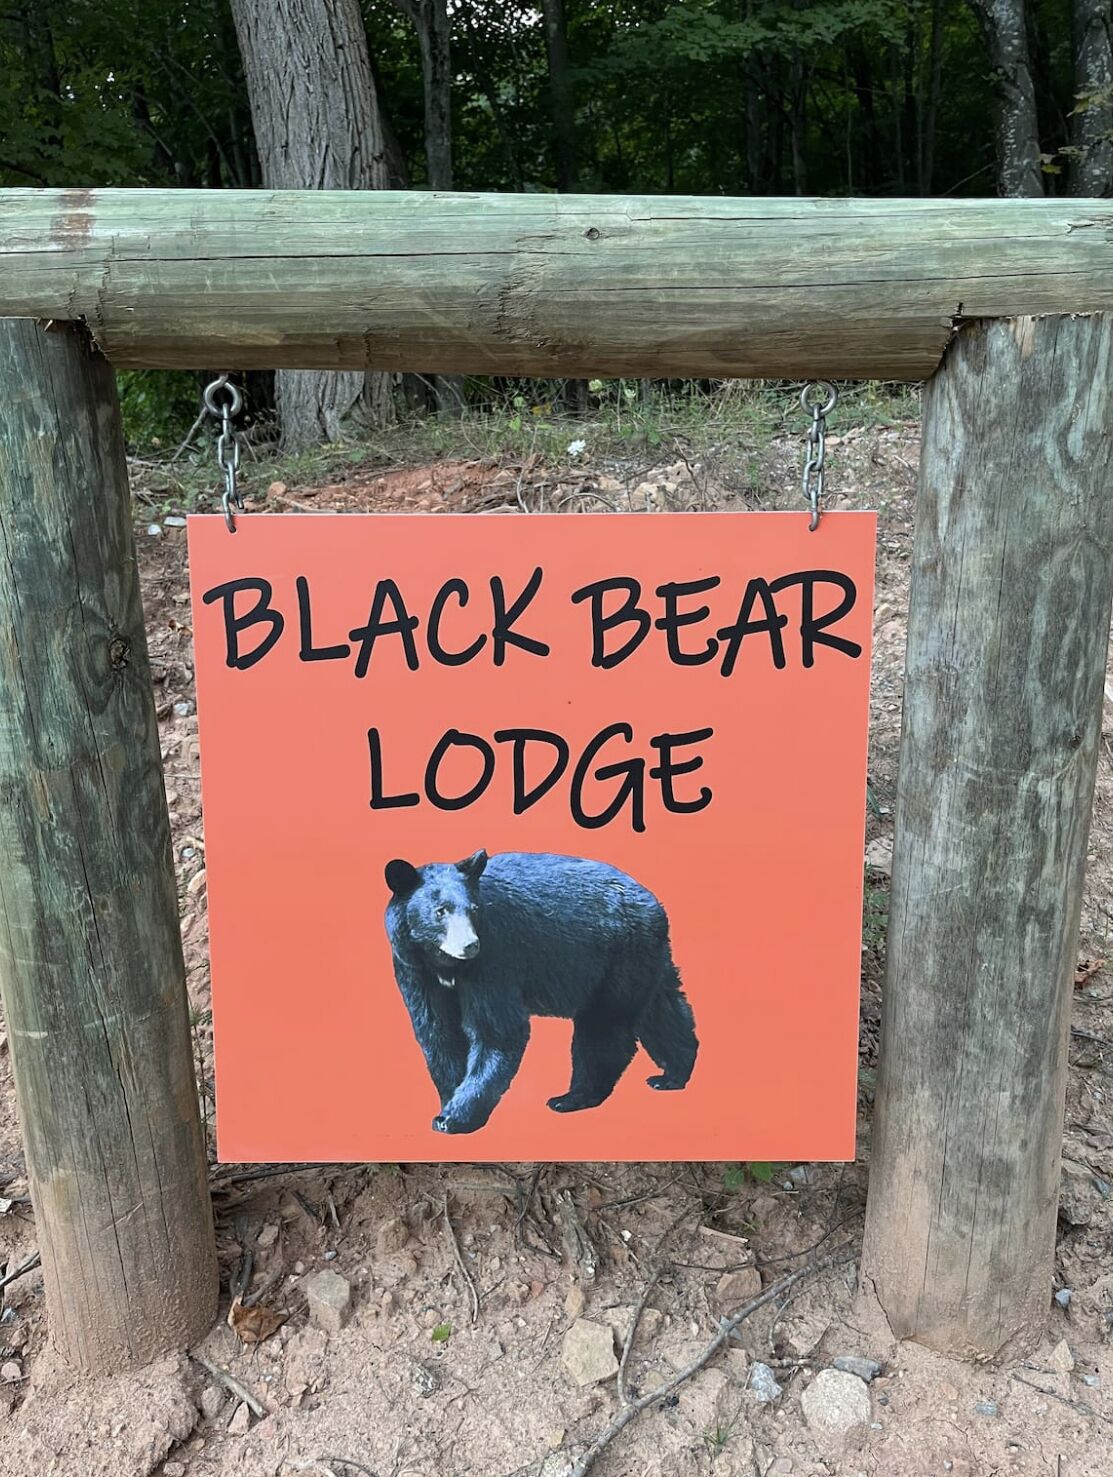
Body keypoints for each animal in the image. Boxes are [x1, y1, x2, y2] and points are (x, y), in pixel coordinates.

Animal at [383, 849, 698, 1134]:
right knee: (662, 1010)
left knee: (604, 1028)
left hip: (618, 957)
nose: (470, 945)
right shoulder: (414, 969)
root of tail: (654, 903)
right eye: (440, 911)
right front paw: (448, 1100)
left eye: (473, 909)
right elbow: (438, 1032)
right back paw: (673, 1074)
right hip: (647, 957)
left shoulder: (495, 956)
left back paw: (573, 1097)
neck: (446, 965)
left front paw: (455, 1117)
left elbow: (496, 1032)